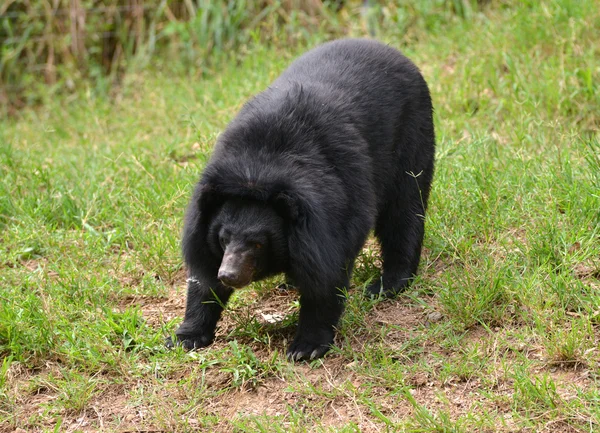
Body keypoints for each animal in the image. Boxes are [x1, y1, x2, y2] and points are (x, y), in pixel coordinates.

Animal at [171, 38, 434, 360]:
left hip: (412, 134)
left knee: (404, 209)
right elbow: (203, 278)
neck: (256, 172)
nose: (229, 275)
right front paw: (186, 337)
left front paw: (306, 347)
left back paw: (388, 284)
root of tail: (390, 49)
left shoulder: (335, 209)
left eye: (258, 243)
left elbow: (326, 273)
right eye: (223, 238)